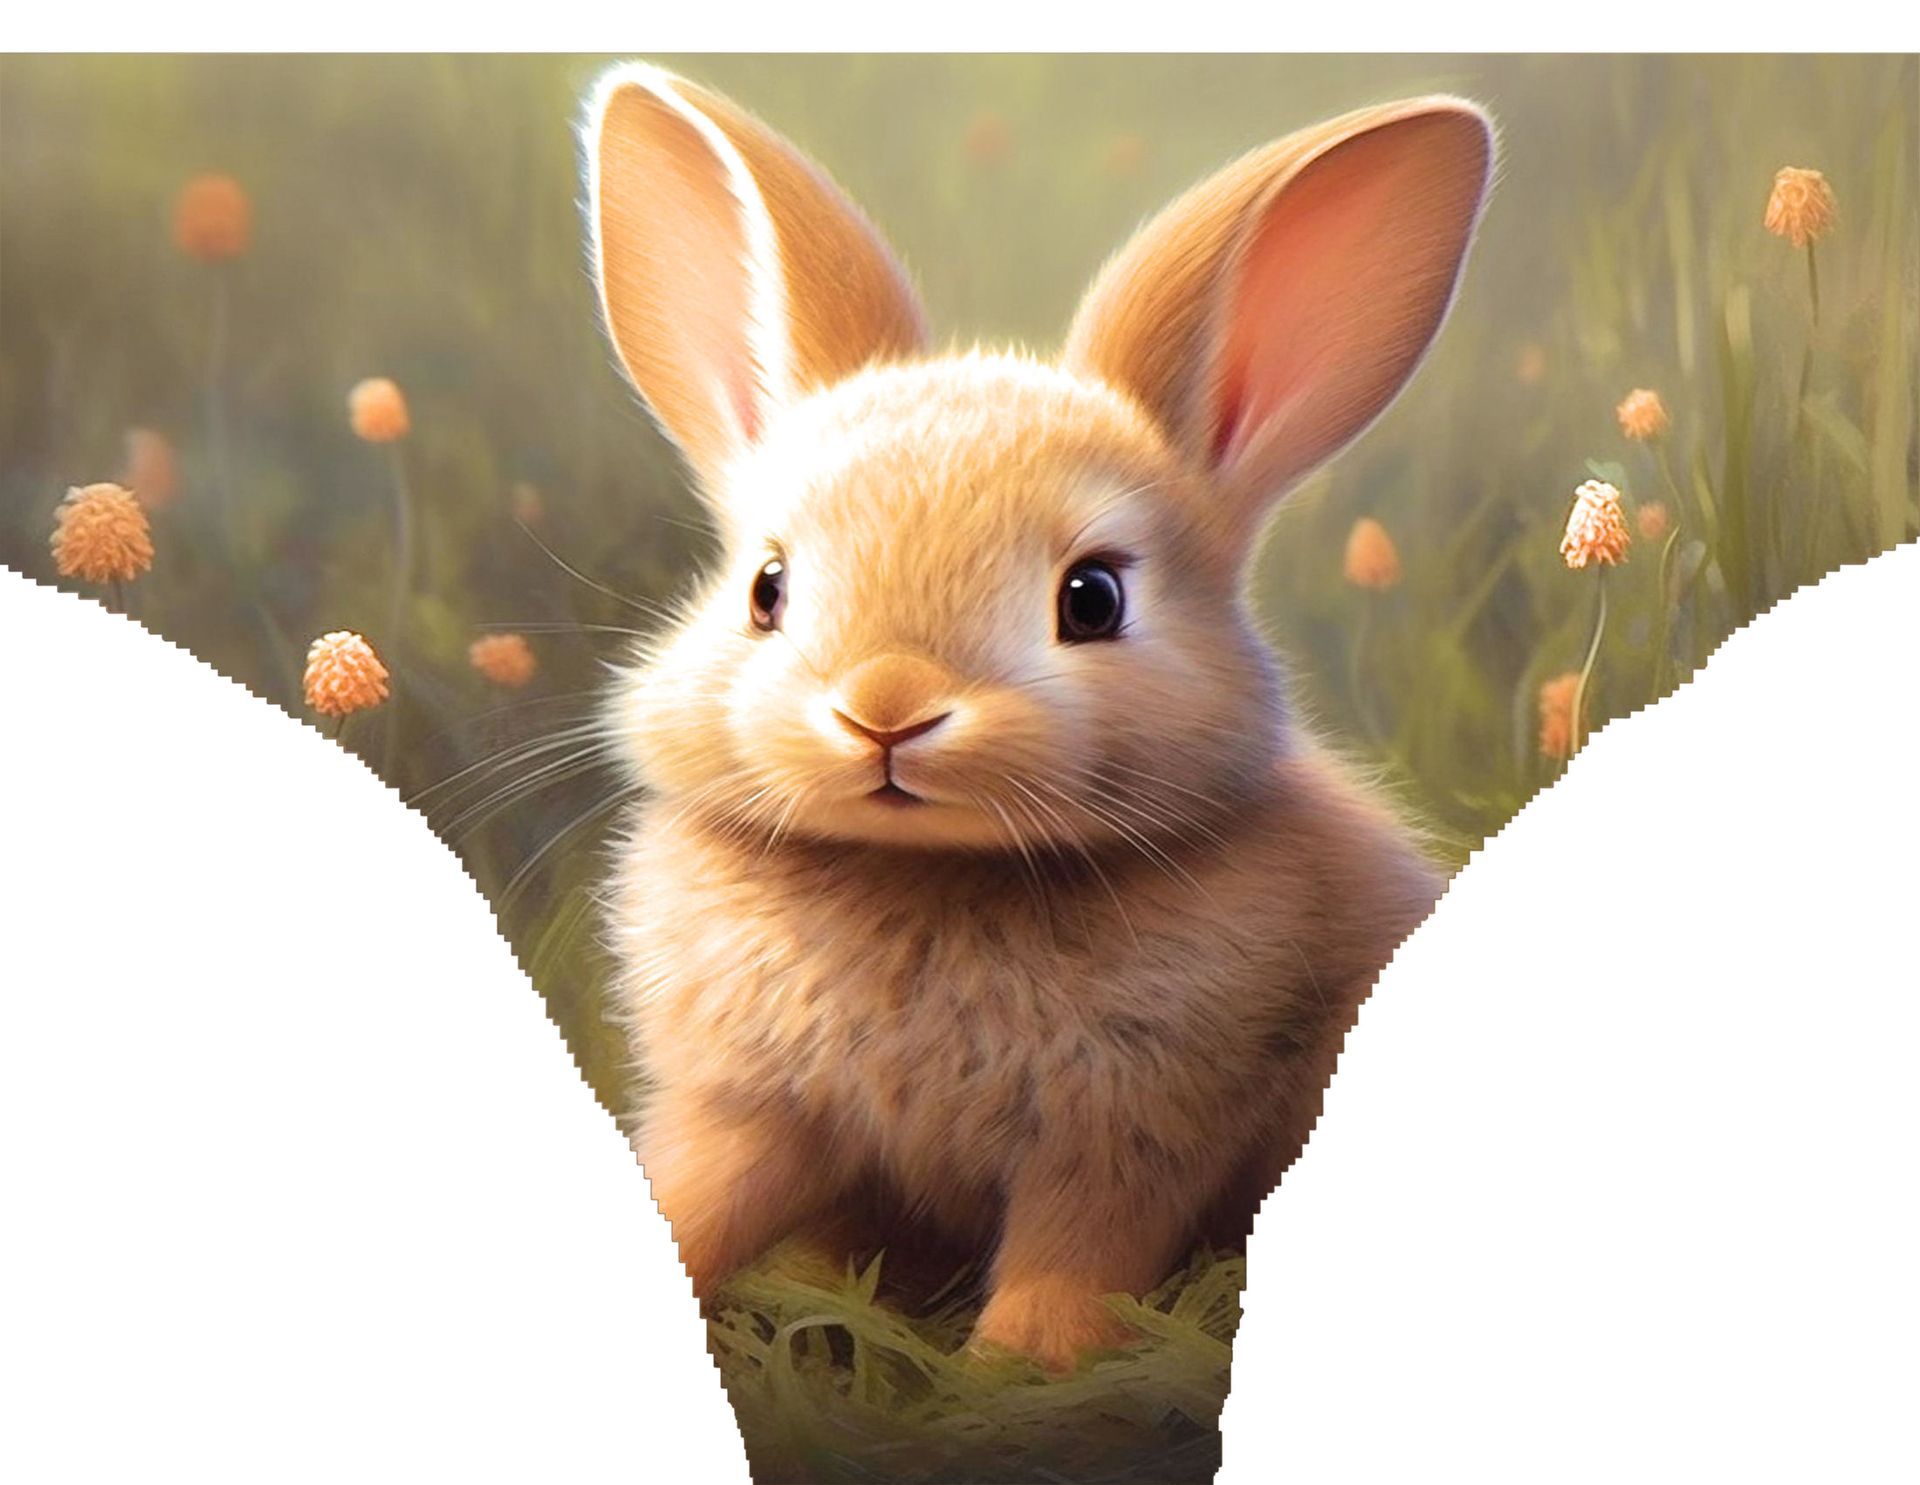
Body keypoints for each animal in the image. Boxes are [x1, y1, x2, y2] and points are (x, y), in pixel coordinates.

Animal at [584, 62, 1492, 1372]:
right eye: (766, 588)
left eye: (1093, 597)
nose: (887, 707)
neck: (927, 876)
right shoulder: (750, 1105)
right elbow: (697, 1195)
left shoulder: (1129, 1128)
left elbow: (1073, 1259)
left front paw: (1015, 1376)